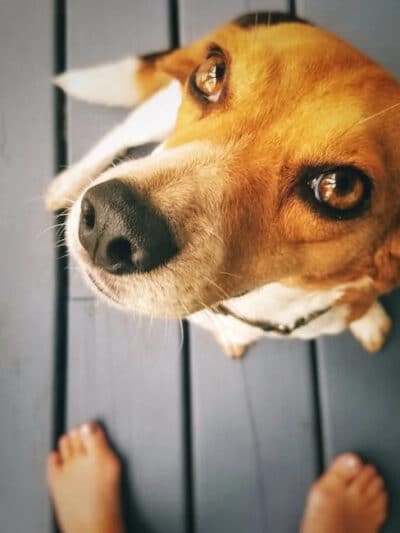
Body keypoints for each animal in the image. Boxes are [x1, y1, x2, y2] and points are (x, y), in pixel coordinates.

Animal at [45, 12, 400, 360]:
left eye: (340, 187)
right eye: (212, 73)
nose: (112, 220)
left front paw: (368, 319)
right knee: (123, 132)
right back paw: (67, 184)